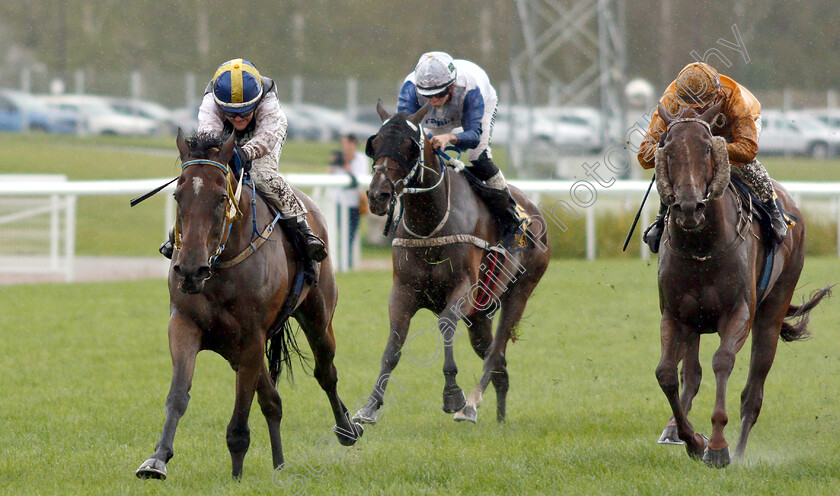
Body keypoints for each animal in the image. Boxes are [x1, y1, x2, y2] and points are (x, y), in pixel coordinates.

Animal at [135, 130, 360, 478]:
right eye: (177, 196)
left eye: (220, 198)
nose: (190, 269)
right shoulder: (185, 324)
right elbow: (178, 394)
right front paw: (157, 459)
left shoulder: (252, 337)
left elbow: (242, 408)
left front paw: (237, 474)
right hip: (233, 348)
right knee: (273, 400)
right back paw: (280, 465)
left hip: (318, 318)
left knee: (326, 372)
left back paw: (347, 429)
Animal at [350, 102, 552, 424]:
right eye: (375, 143)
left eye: (409, 146)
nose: (378, 195)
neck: (429, 224)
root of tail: (534, 213)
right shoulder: (403, 290)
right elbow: (394, 344)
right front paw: (370, 406)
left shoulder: (464, 288)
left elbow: (445, 323)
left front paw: (453, 395)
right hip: (480, 314)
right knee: (497, 361)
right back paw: (499, 418)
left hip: (520, 291)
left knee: (496, 350)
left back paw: (471, 404)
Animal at [648, 102, 828, 466]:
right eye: (668, 149)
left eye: (707, 148)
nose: (689, 206)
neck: (701, 246)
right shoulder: (675, 315)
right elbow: (667, 373)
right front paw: (692, 440)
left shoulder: (739, 313)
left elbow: (723, 362)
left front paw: (718, 446)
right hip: (694, 323)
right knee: (691, 375)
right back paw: (676, 430)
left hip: (771, 313)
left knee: (753, 393)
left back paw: (742, 452)